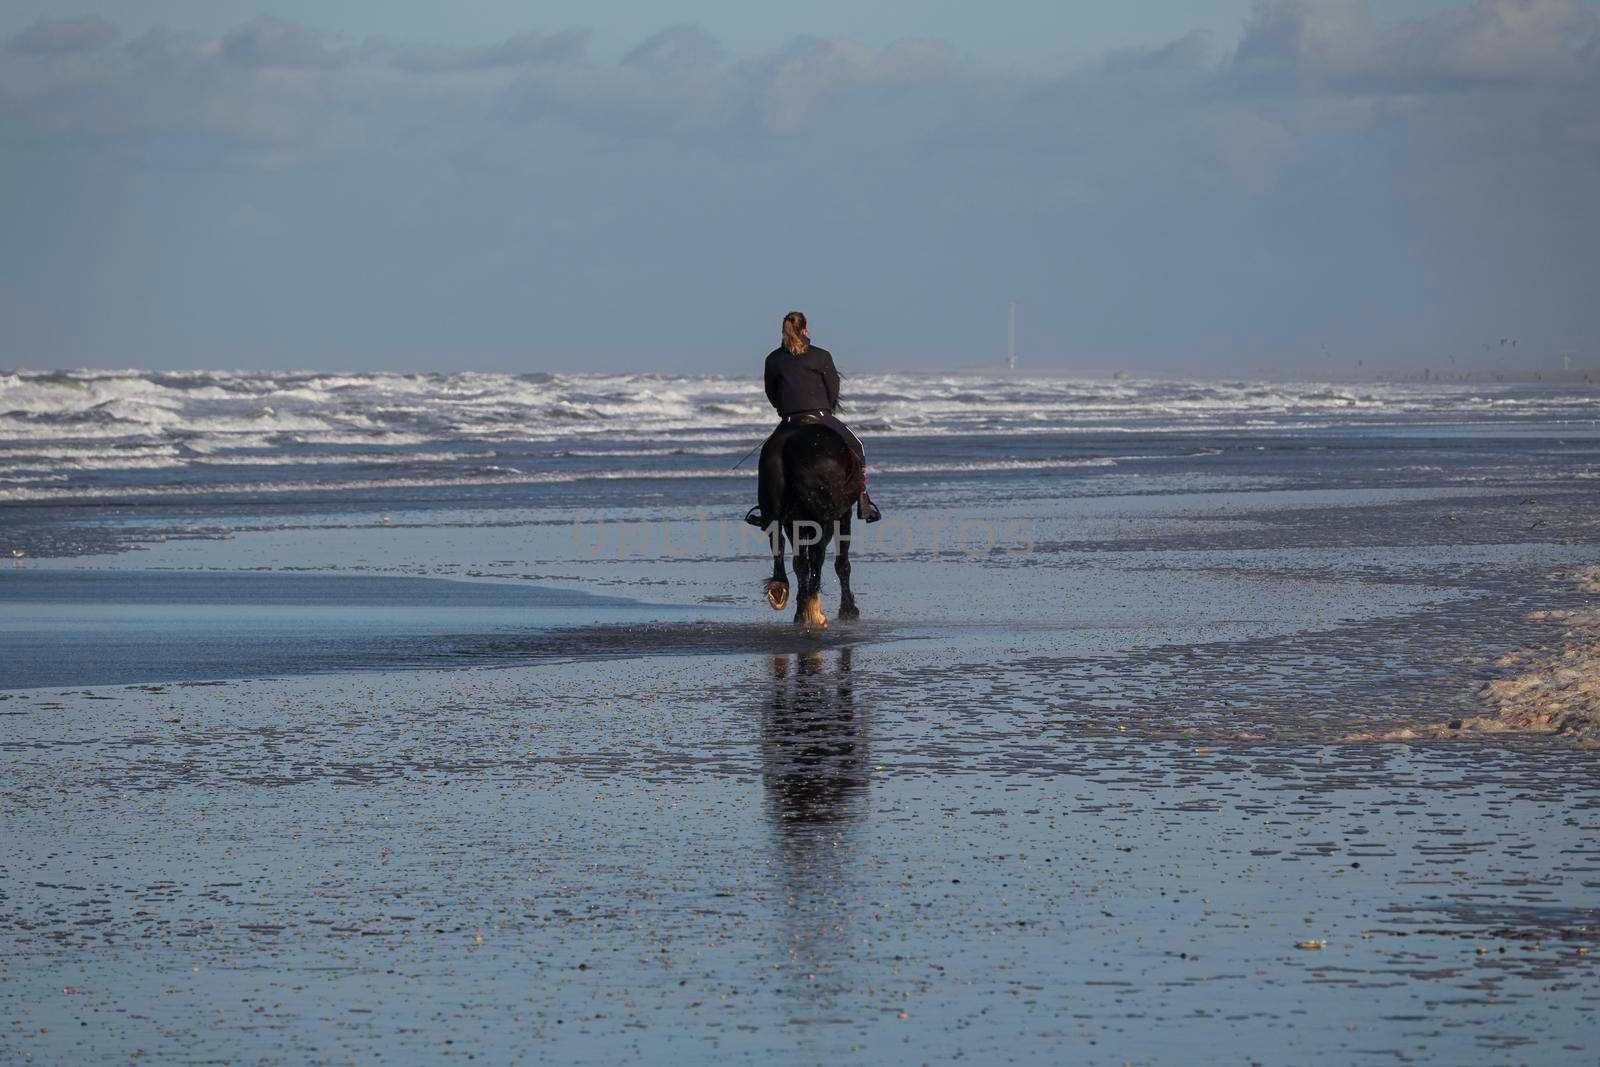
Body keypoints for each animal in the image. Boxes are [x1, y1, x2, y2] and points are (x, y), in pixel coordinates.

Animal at [758, 422, 864, 630]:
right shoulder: (843, 515)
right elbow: (842, 563)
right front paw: (848, 609)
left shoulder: (794, 524)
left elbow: (799, 563)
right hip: (825, 519)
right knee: (817, 556)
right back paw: (815, 611)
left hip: (779, 513)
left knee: (783, 549)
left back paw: (790, 599)